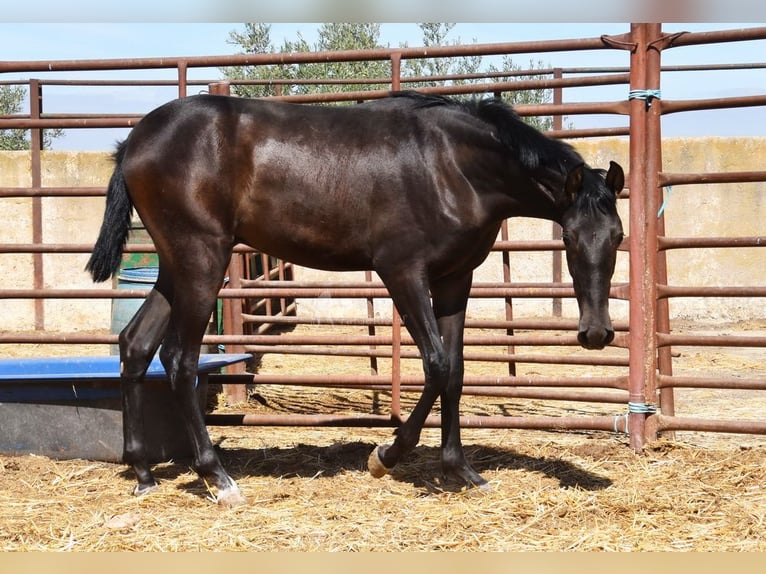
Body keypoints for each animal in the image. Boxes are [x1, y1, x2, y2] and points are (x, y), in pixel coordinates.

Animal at [87, 92, 624, 510]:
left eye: (617, 236)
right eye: (569, 238)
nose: (596, 333)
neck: (451, 166)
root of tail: (134, 141)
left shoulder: (455, 279)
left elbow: (455, 370)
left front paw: (461, 471)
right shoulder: (403, 272)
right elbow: (435, 366)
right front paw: (386, 457)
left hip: (176, 267)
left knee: (135, 345)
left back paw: (144, 473)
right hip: (201, 260)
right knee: (179, 359)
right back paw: (218, 479)